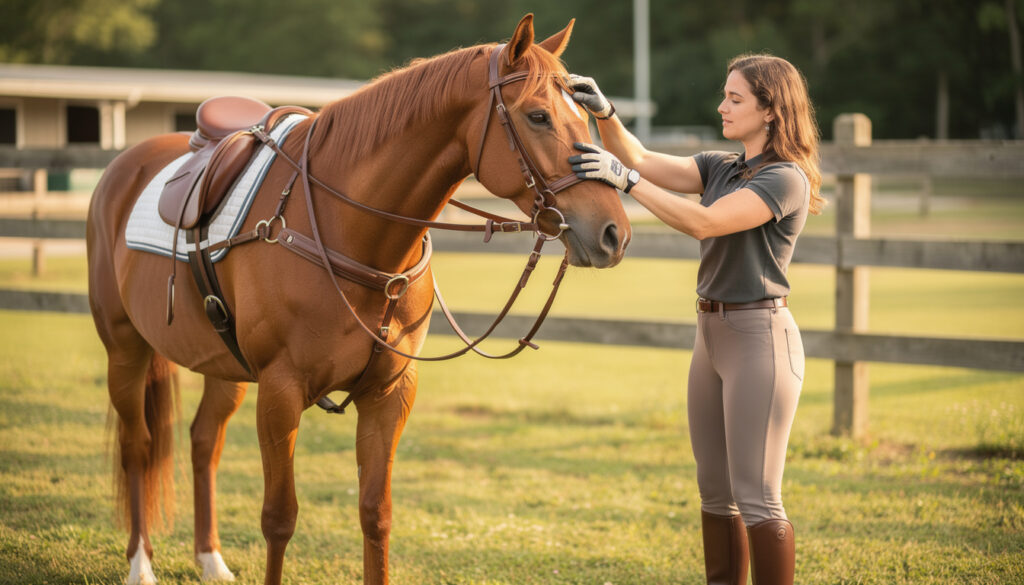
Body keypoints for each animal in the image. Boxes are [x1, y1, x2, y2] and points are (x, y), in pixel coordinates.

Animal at [86, 14, 630, 585]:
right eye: (538, 116)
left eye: (584, 114)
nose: (614, 233)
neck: (348, 231)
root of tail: (126, 164)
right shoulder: (280, 392)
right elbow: (279, 517)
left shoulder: (389, 393)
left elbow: (376, 513)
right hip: (125, 350)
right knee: (138, 447)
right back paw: (140, 564)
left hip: (223, 367)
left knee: (202, 441)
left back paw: (210, 559)